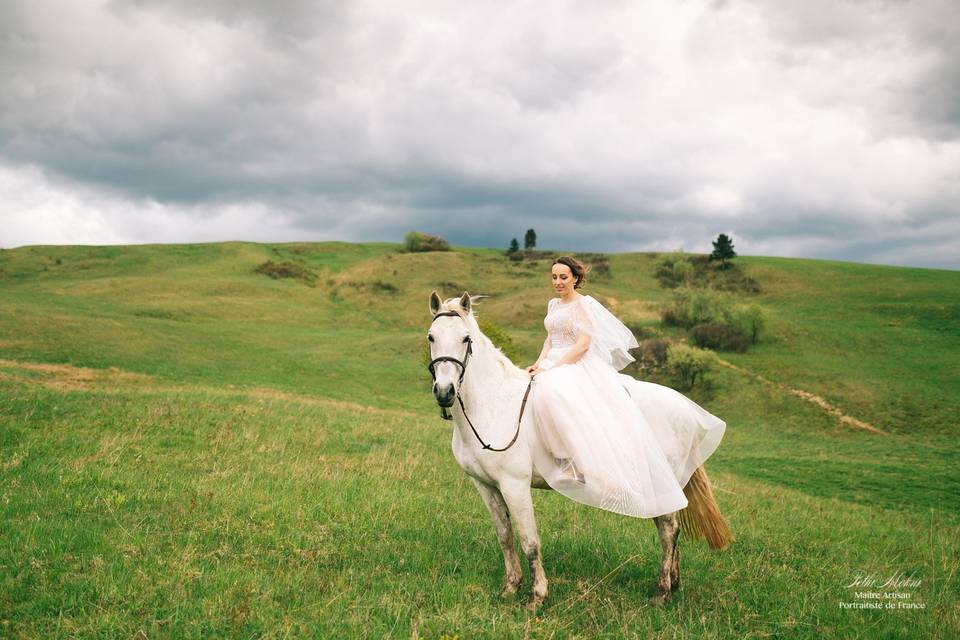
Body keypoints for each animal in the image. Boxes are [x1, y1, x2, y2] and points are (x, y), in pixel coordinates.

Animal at [424, 290, 732, 608]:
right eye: (431, 337)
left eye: (465, 338)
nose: (445, 392)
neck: (495, 404)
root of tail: (685, 409)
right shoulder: (485, 485)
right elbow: (505, 536)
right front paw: (511, 587)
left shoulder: (514, 485)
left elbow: (529, 540)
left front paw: (537, 596)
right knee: (668, 529)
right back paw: (672, 584)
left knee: (669, 529)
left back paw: (661, 593)